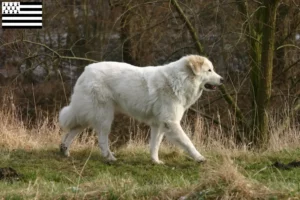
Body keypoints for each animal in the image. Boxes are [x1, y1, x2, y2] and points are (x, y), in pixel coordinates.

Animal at [58, 54, 223, 163]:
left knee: (73, 130)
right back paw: (110, 158)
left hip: (88, 115)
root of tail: (86, 70)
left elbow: (155, 145)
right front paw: (199, 158)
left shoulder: (159, 124)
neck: (181, 80)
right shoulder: (171, 122)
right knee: (102, 140)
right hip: (104, 117)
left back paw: (64, 150)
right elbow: (188, 142)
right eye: (209, 70)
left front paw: (155, 161)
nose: (222, 79)